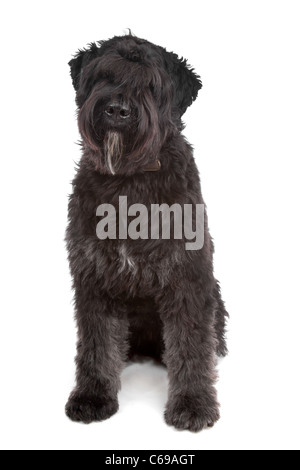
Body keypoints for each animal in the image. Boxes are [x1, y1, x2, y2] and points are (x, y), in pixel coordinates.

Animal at [65, 35, 227, 432]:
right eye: (104, 75)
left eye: (151, 85)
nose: (117, 110)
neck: (128, 181)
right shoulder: (93, 278)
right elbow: (96, 343)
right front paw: (92, 396)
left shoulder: (187, 278)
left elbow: (191, 343)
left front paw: (193, 404)